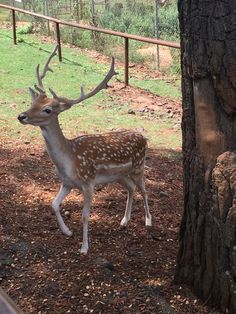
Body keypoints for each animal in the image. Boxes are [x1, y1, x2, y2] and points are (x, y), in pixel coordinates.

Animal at [17, 45, 152, 254]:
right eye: (33, 103)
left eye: (48, 109)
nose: (21, 116)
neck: (69, 159)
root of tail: (143, 137)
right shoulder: (67, 182)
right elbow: (53, 204)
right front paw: (67, 232)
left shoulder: (88, 183)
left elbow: (84, 216)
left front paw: (84, 248)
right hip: (119, 175)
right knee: (131, 188)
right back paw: (124, 221)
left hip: (139, 166)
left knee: (144, 191)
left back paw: (148, 221)